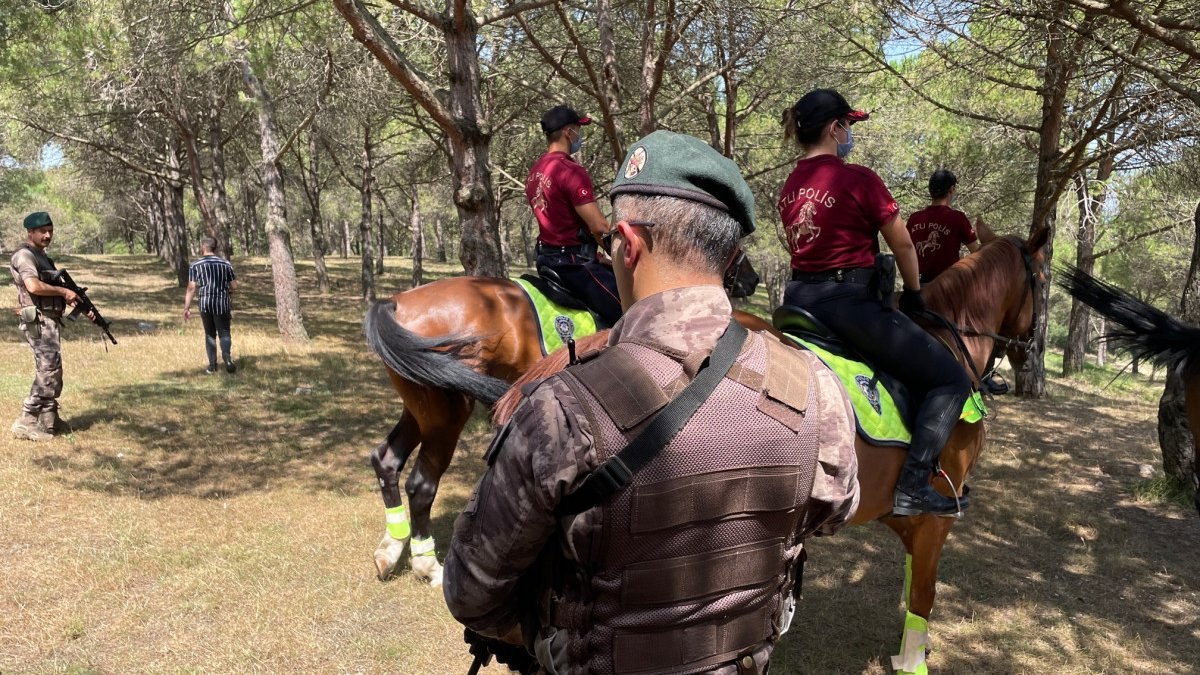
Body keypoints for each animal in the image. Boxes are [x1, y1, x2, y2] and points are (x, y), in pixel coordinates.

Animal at [360, 254, 763, 581]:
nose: (752, 278)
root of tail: (396, 303)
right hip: (448, 414)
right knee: (421, 484)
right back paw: (427, 565)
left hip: (422, 408)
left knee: (386, 459)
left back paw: (390, 550)